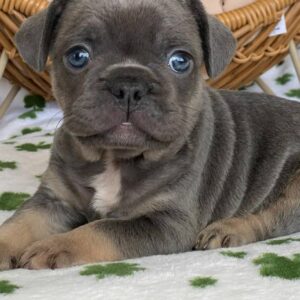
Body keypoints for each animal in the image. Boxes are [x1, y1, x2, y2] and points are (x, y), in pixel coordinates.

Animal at [0, 0, 300, 270]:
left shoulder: (167, 222)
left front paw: (56, 245)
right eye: (77, 56)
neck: (115, 158)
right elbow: (20, 222)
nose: (129, 84)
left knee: (273, 218)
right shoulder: (52, 200)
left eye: (180, 61)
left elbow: (104, 228)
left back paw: (228, 229)